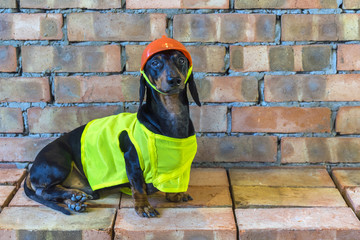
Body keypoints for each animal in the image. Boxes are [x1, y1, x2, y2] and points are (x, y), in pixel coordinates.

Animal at [23, 36, 201, 218]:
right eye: (155, 63)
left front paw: (176, 195)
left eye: (181, 60)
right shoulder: (132, 160)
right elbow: (138, 187)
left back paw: (74, 201)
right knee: (44, 192)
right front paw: (143, 206)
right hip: (60, 162)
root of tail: (32, 168)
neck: (172, 113)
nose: (174, 80)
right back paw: (73, 195)